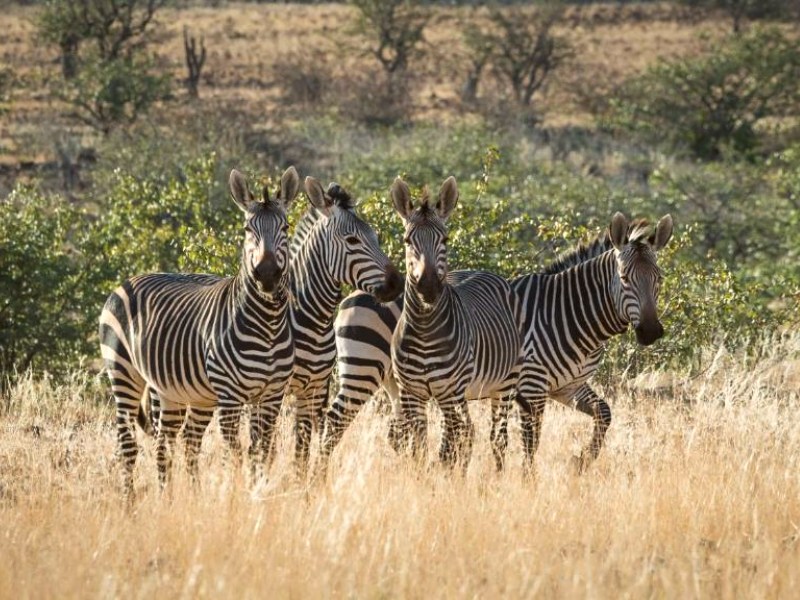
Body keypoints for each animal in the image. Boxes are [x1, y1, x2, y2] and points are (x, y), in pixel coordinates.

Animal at [99, 167, 301, 492]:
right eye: (247, 229)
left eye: (285, 227)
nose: (267, 274)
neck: (267, 325)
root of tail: (130, 279)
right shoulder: (230, 396)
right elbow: (236, 453)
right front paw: (236, 496)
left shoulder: (271, 395)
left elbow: (261, 451)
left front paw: (258, 492)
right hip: (123, 372)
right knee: (128, 445)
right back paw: (130, 502)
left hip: (175, 391)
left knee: (172, 443)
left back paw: (175, 498)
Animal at [321, 211, 673, 472]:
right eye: (625, 278)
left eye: (659, 278)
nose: (651, 331)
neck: (565, 312)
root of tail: (352, 296)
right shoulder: (532, 386)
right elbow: (530, 443)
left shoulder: (566, 386)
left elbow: (604, 413)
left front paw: (582, 460)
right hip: (364, 370)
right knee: (338, 421)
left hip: (397, 383)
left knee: (398, 433)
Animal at [384, 176, 522, 467]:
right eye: (407, 240)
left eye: (445, 239)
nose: (428, 288)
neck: (424, 329)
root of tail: (482, 271)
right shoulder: (410, 392)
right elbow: (418, 447)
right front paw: (419, 475)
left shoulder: (448, 390)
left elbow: (448, 447)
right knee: (467, 432)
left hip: (504, 384)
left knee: (496, 438)